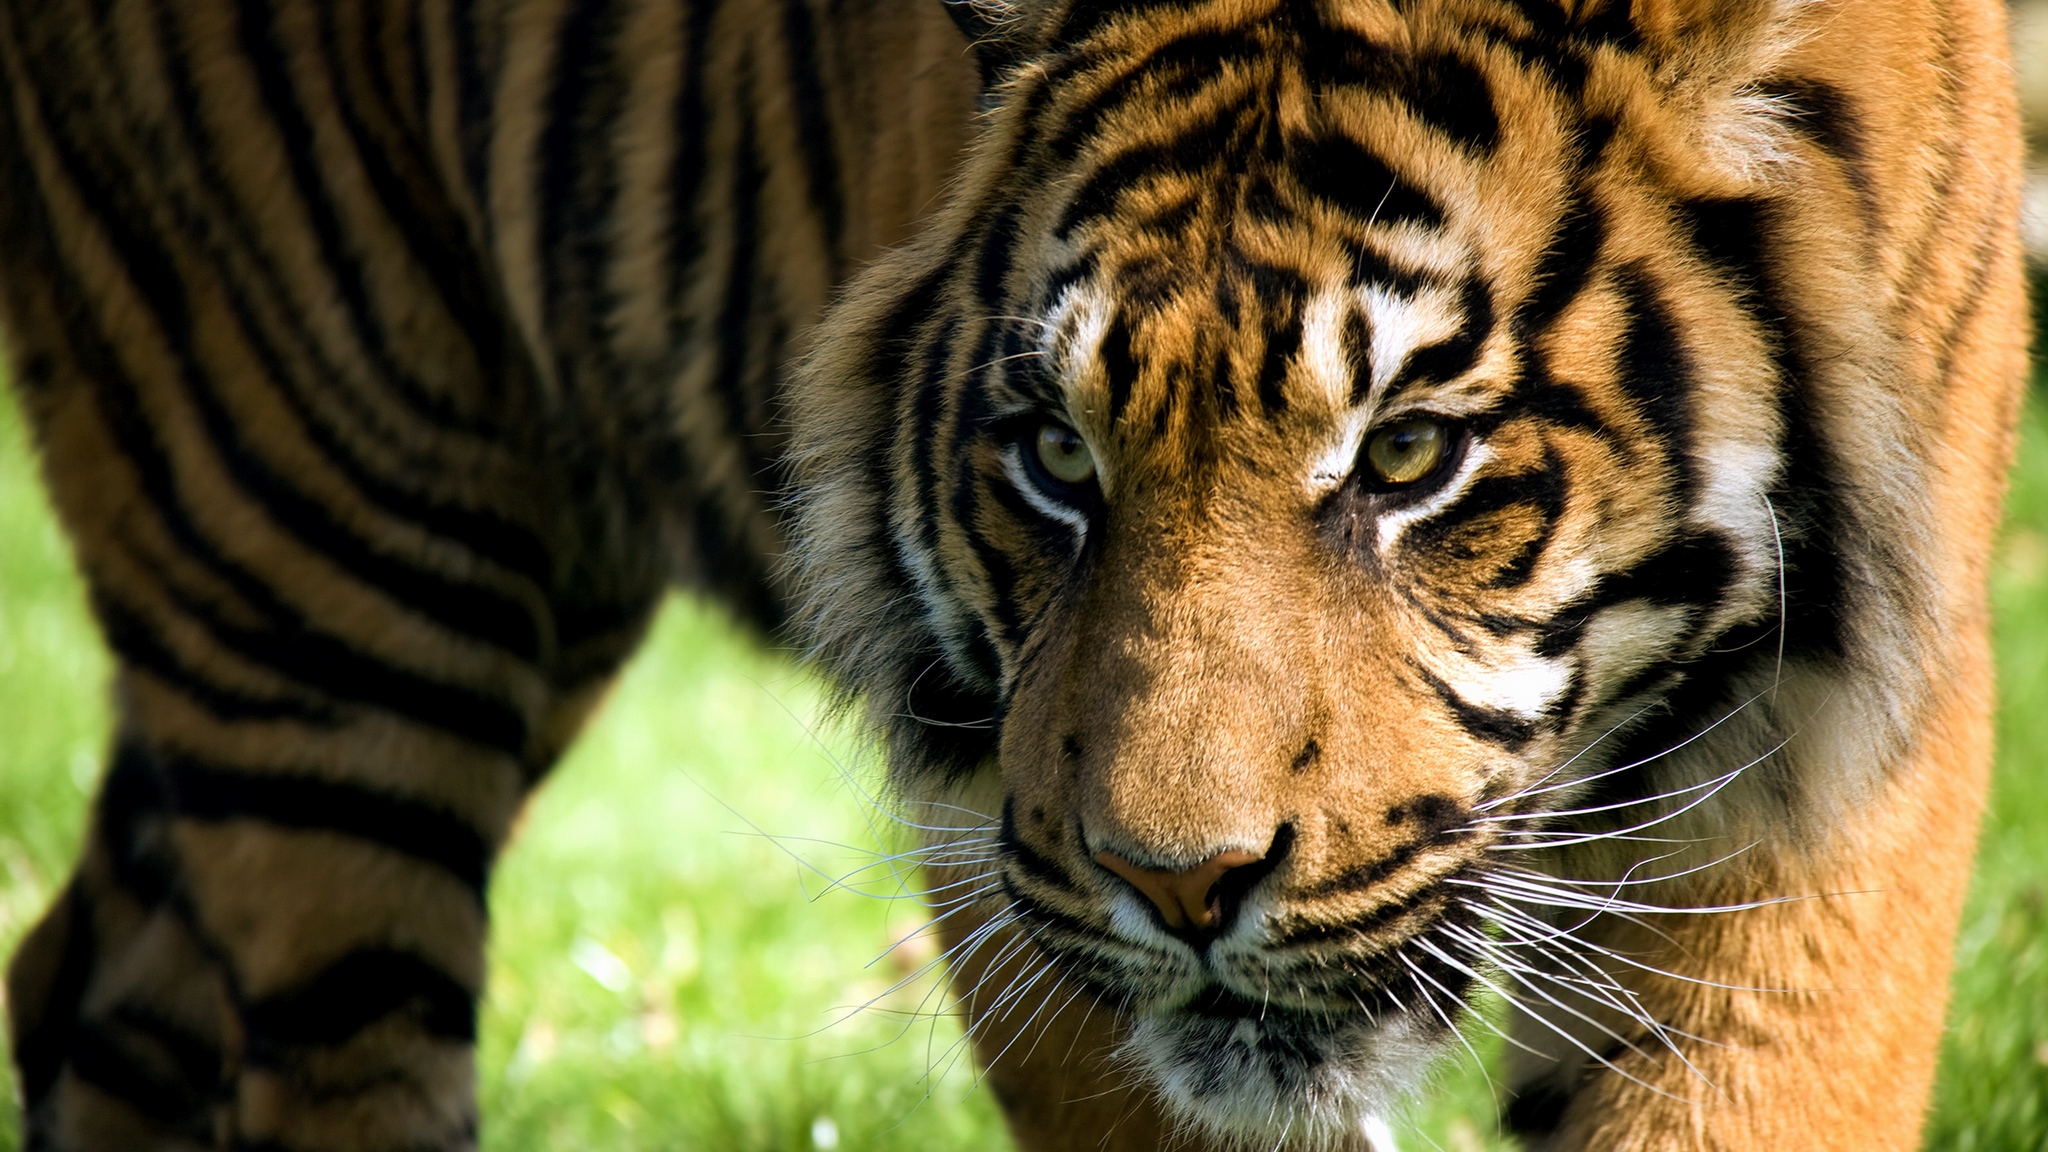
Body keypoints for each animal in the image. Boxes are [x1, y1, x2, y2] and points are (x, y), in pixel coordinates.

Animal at [0, 0, 2025, 1149]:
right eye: (1059, 457)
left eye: (1407, 456)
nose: (1178, 885)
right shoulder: (1007, 833)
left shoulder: (1818, 770)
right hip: (324, 562)